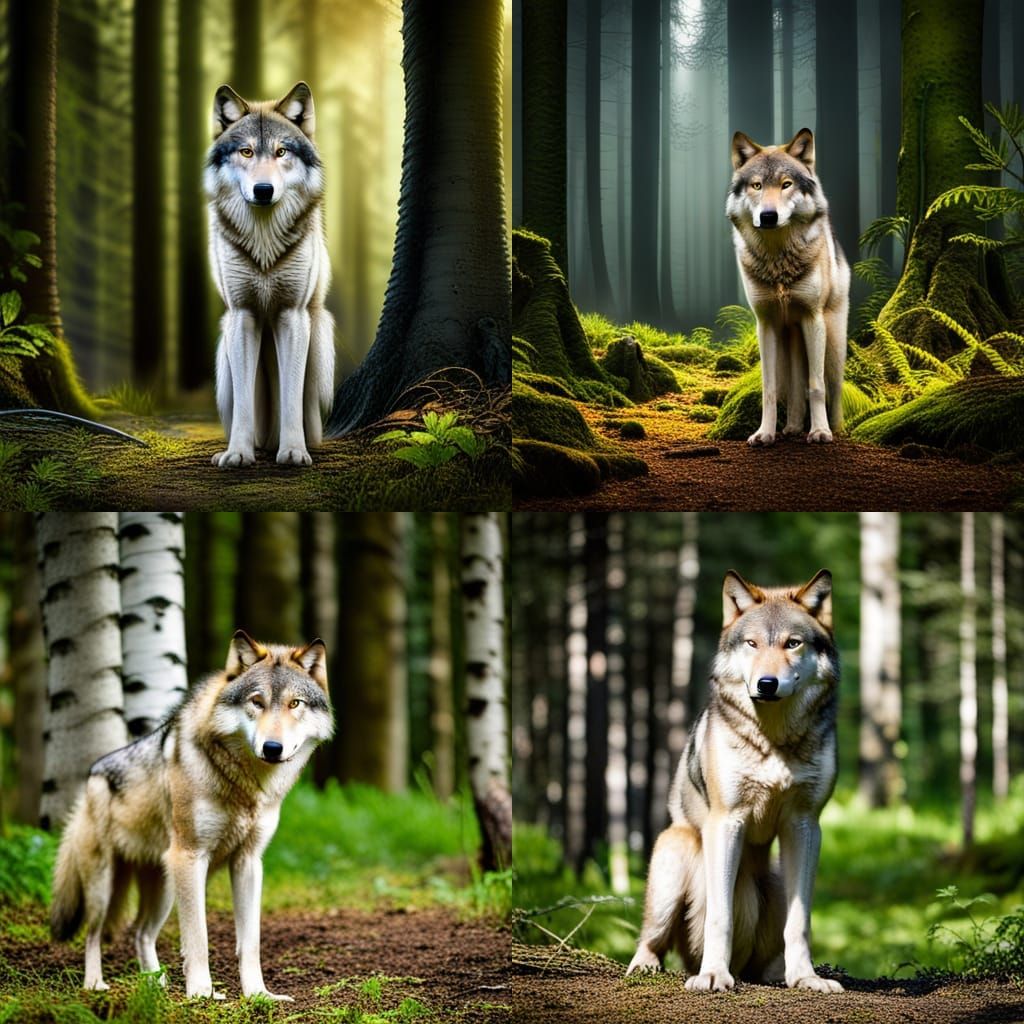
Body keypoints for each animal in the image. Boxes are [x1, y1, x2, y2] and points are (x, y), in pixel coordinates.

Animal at [50, 631, 334, 999]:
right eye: (257, 702)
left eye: (295, 704)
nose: (272, 748)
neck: (244, 785)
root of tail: (91, 778)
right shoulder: (190, 856)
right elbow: (198, 937)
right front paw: (201, 992)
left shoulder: (248, 863)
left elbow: (250, 942)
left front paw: (258, 994)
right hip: (107, 885)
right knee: (93, 933)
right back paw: (95, 984)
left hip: (164, 887)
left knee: (140, 932)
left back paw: (155, 985)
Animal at [205, 81, 335, 468]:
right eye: (246, 152)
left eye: (281, 152)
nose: (264, 190)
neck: (263, 244)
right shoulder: (242, 316)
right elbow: (245, 402)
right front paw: (237, 453)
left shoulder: (293, 316)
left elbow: (290, 394)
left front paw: (293, 451)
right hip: (223, 355)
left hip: (319, 333)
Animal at [627, 569, 843, 994]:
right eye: (752, 643)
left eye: (792, 643)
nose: (767, 683)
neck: (774, 740)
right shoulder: (726, 821)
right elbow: (719, 915)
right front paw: (712, 974)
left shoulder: (804, 825)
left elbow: (801, 923)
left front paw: (806, 978)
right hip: (674, 856)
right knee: (651, 937)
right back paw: (648, 965)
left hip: (776, 879)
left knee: (769, 952)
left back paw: (778, 973)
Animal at [726, 129, 849, 446]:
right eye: (757, 185)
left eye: (786, 184)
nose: (768, 216)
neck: (778, 260)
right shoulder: (765, 324)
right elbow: (769, 389)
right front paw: (764, 434)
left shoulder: (812, 318)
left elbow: (816, 385)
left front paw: (820, 432)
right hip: (788, 343)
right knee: (793, 388)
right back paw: (792, 427)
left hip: (832, 342)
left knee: (832, 387)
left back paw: (838, 428)